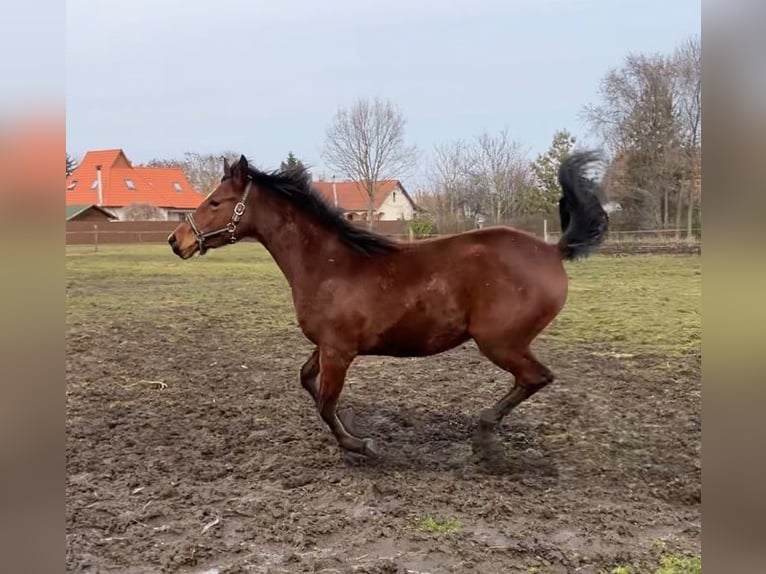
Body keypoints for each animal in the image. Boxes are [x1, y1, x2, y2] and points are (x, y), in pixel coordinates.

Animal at [170, 152, 612, 464]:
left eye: (216, 202)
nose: (177, 241)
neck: (328, 265)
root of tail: (552, 250)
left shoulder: (339, 351)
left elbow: (326, 402)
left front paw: (359, 444)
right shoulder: (327, 346)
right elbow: (308, 382)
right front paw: (352, 425)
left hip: (500, 342)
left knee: (537, 377)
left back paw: (485, 439)